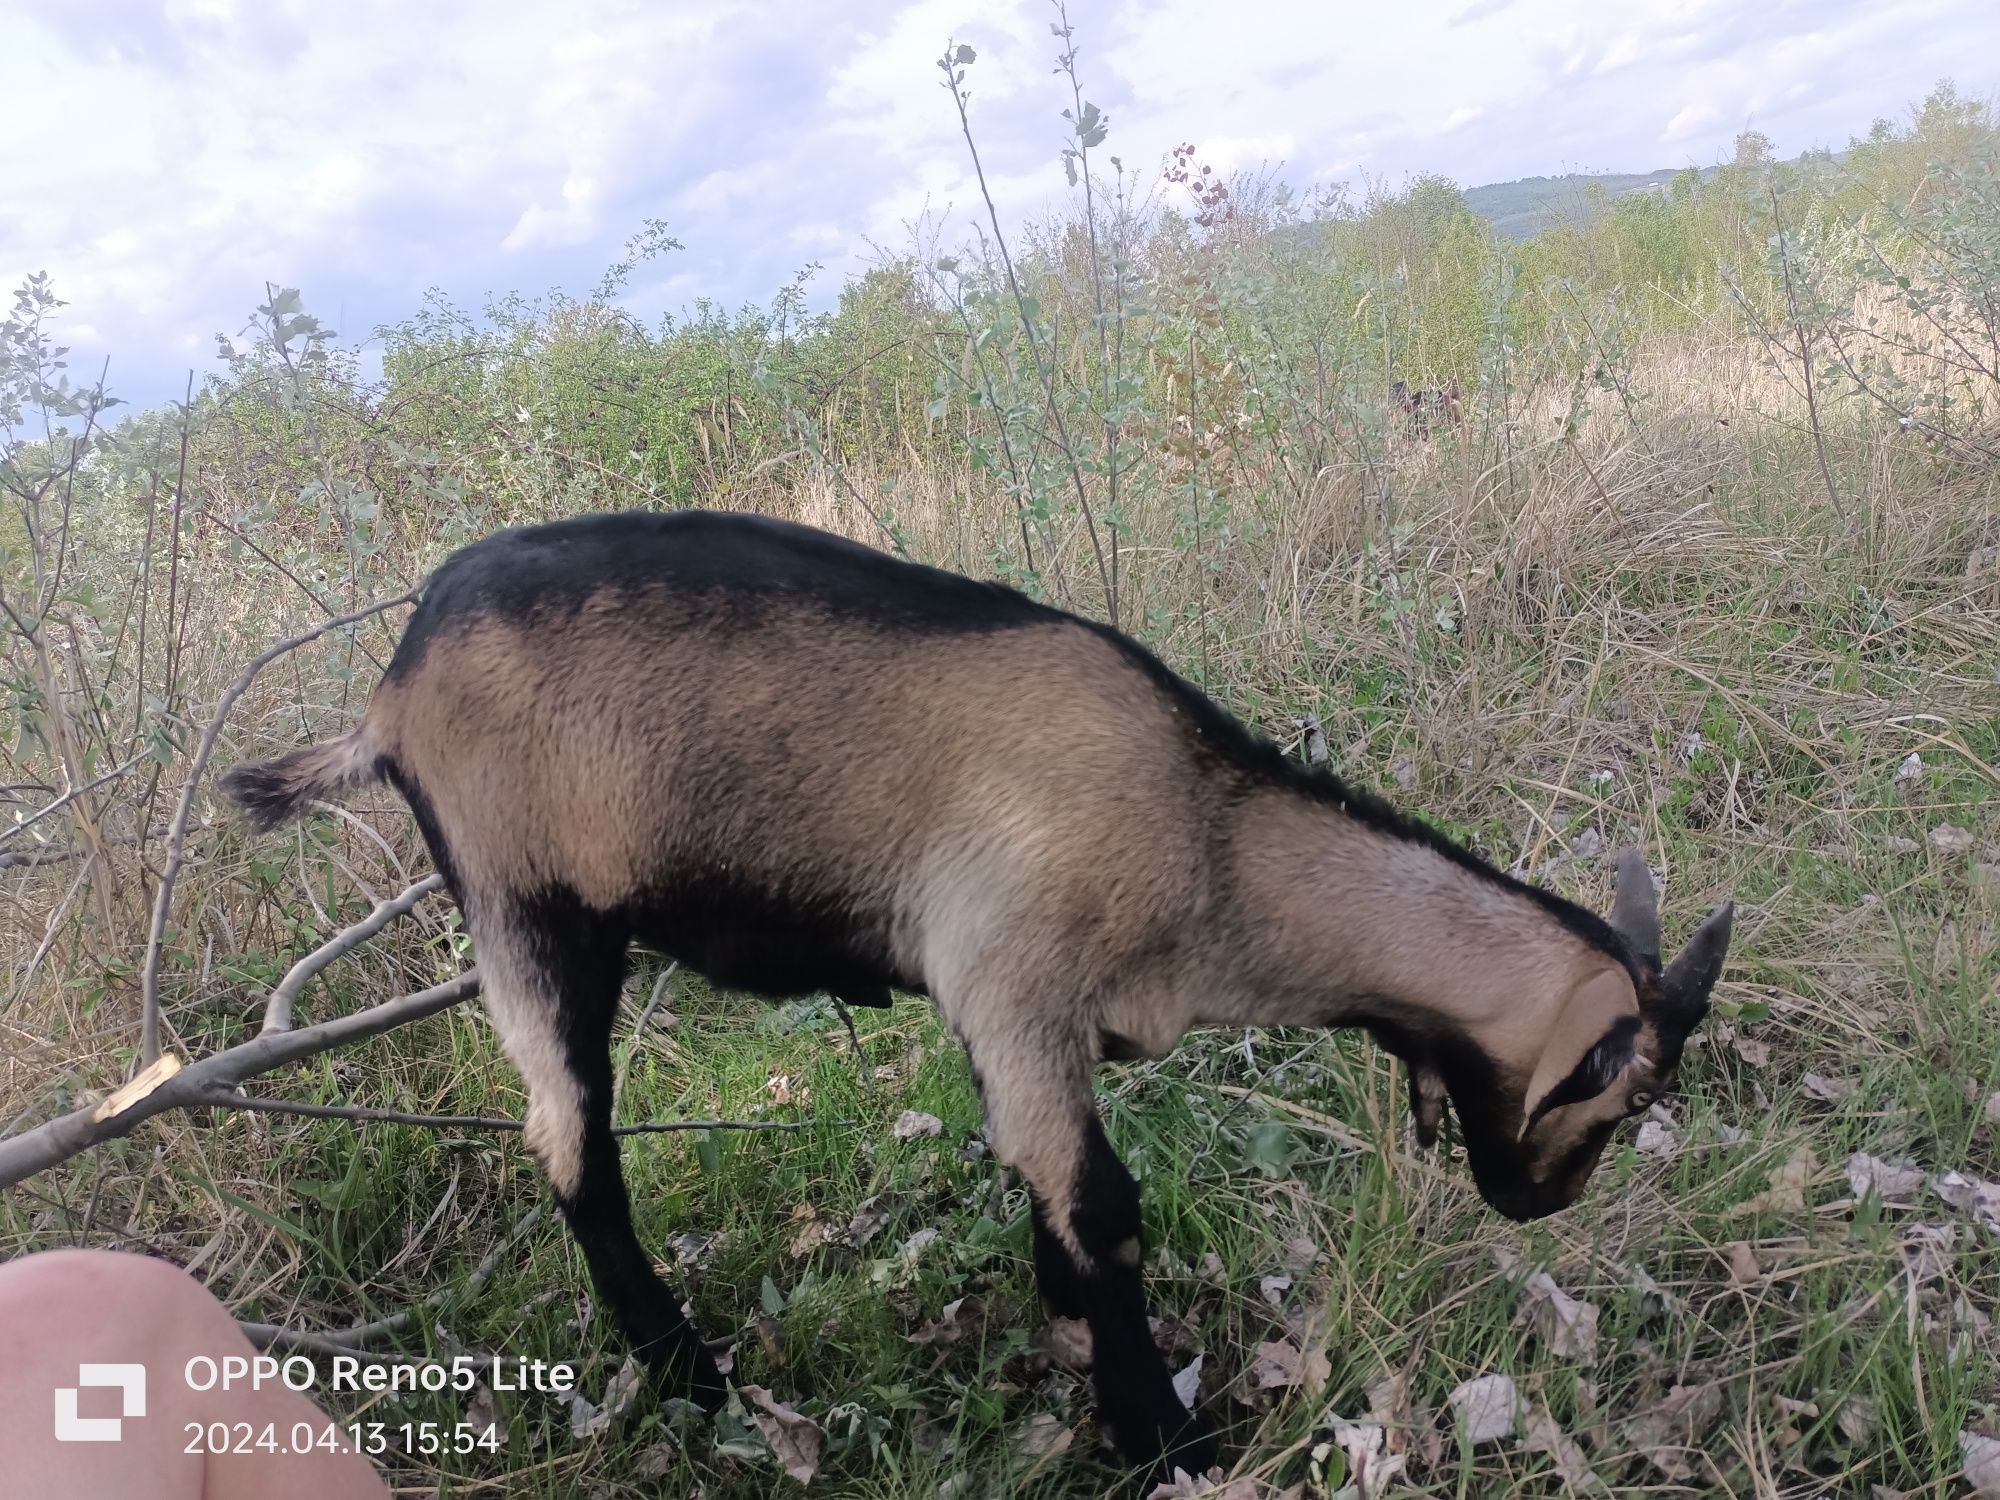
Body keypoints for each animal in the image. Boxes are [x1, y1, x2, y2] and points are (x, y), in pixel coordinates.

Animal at [223, 512, 1736, 1472]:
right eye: (1624, 1092)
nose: (1538, 1204)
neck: (1214, 840)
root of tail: (388, 692)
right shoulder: (1016, 973)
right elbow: (1102, 1204)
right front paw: (1161, 1433)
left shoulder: (1002, 1015)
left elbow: (1035, 1174)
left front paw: (1065, 1321)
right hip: (527, 910)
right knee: (570, 1139)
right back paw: (686, 1375)